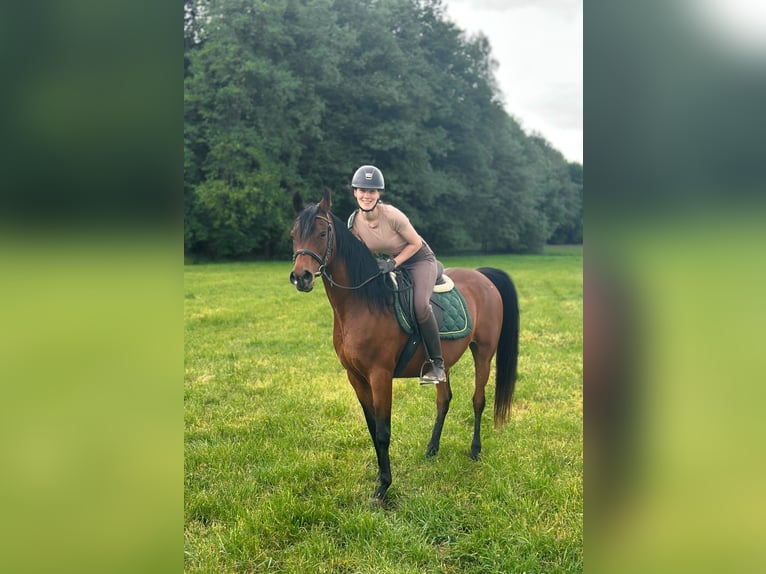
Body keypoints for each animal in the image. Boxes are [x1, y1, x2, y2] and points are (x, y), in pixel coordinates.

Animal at [289, 190, 519, 500]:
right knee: (444, 400)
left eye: (323, 233)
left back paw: (475, 450)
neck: (364, 303)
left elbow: (383, 430)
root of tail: (482, 276)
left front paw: (384, 486)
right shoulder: (355, 377)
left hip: (483, 353)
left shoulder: (380, 375)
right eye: (293, 235)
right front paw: (380, 476)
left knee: (478, 400)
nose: (300, 277)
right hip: (443, 361)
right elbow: (372, 428)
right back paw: (432, 449)